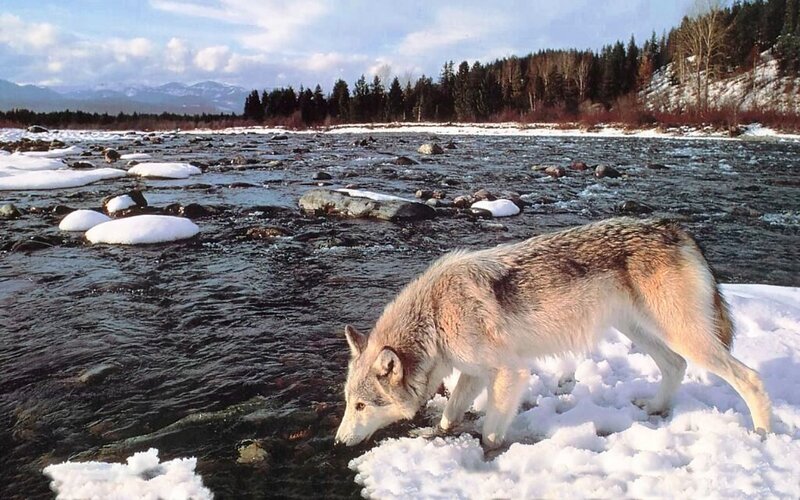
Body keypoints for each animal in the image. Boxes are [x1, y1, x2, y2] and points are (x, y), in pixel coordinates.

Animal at [334, 218, 772, 449]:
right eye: (348, 403)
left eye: (361, 406)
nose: (337, 441)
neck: (435, 316)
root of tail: (679, 230)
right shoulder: (474, 373)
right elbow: (450, 414)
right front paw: (435, 434)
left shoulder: (510, 372)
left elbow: (491, 432)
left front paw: (488, 457)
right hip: (640, 332)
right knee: (676, 366)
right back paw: (655, 409)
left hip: (686, 337)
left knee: (750, 377)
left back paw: (763, 434)